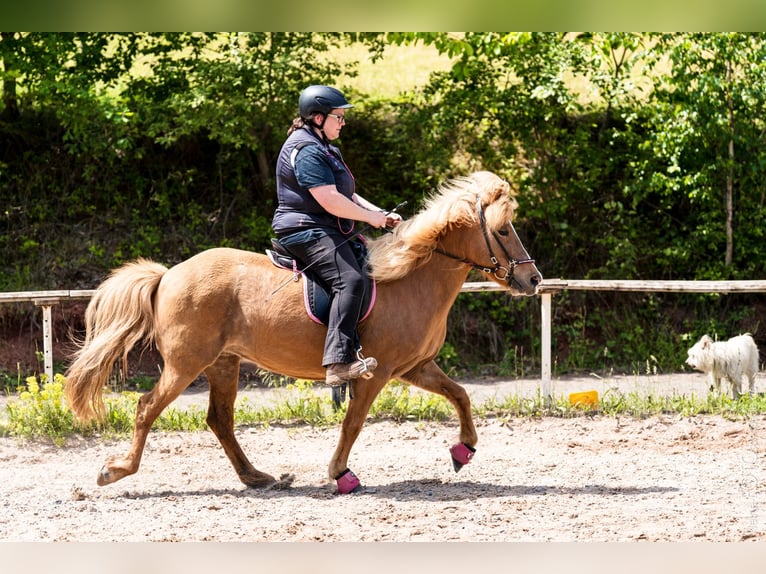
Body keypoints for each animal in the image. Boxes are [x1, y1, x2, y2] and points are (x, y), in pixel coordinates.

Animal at [67, 170, 544, 496]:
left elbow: (460, 395)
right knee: (147, 408)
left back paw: (257, 477)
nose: (533, 279)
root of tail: (167, 275)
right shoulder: (375, 372)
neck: (410, 279)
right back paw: (116, 471)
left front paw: (464, 451)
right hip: (187, 364)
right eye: (502, 230)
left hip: (223, 364)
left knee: (220, 420)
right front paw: (341, 474)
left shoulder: (415, 367)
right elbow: (353, 423)